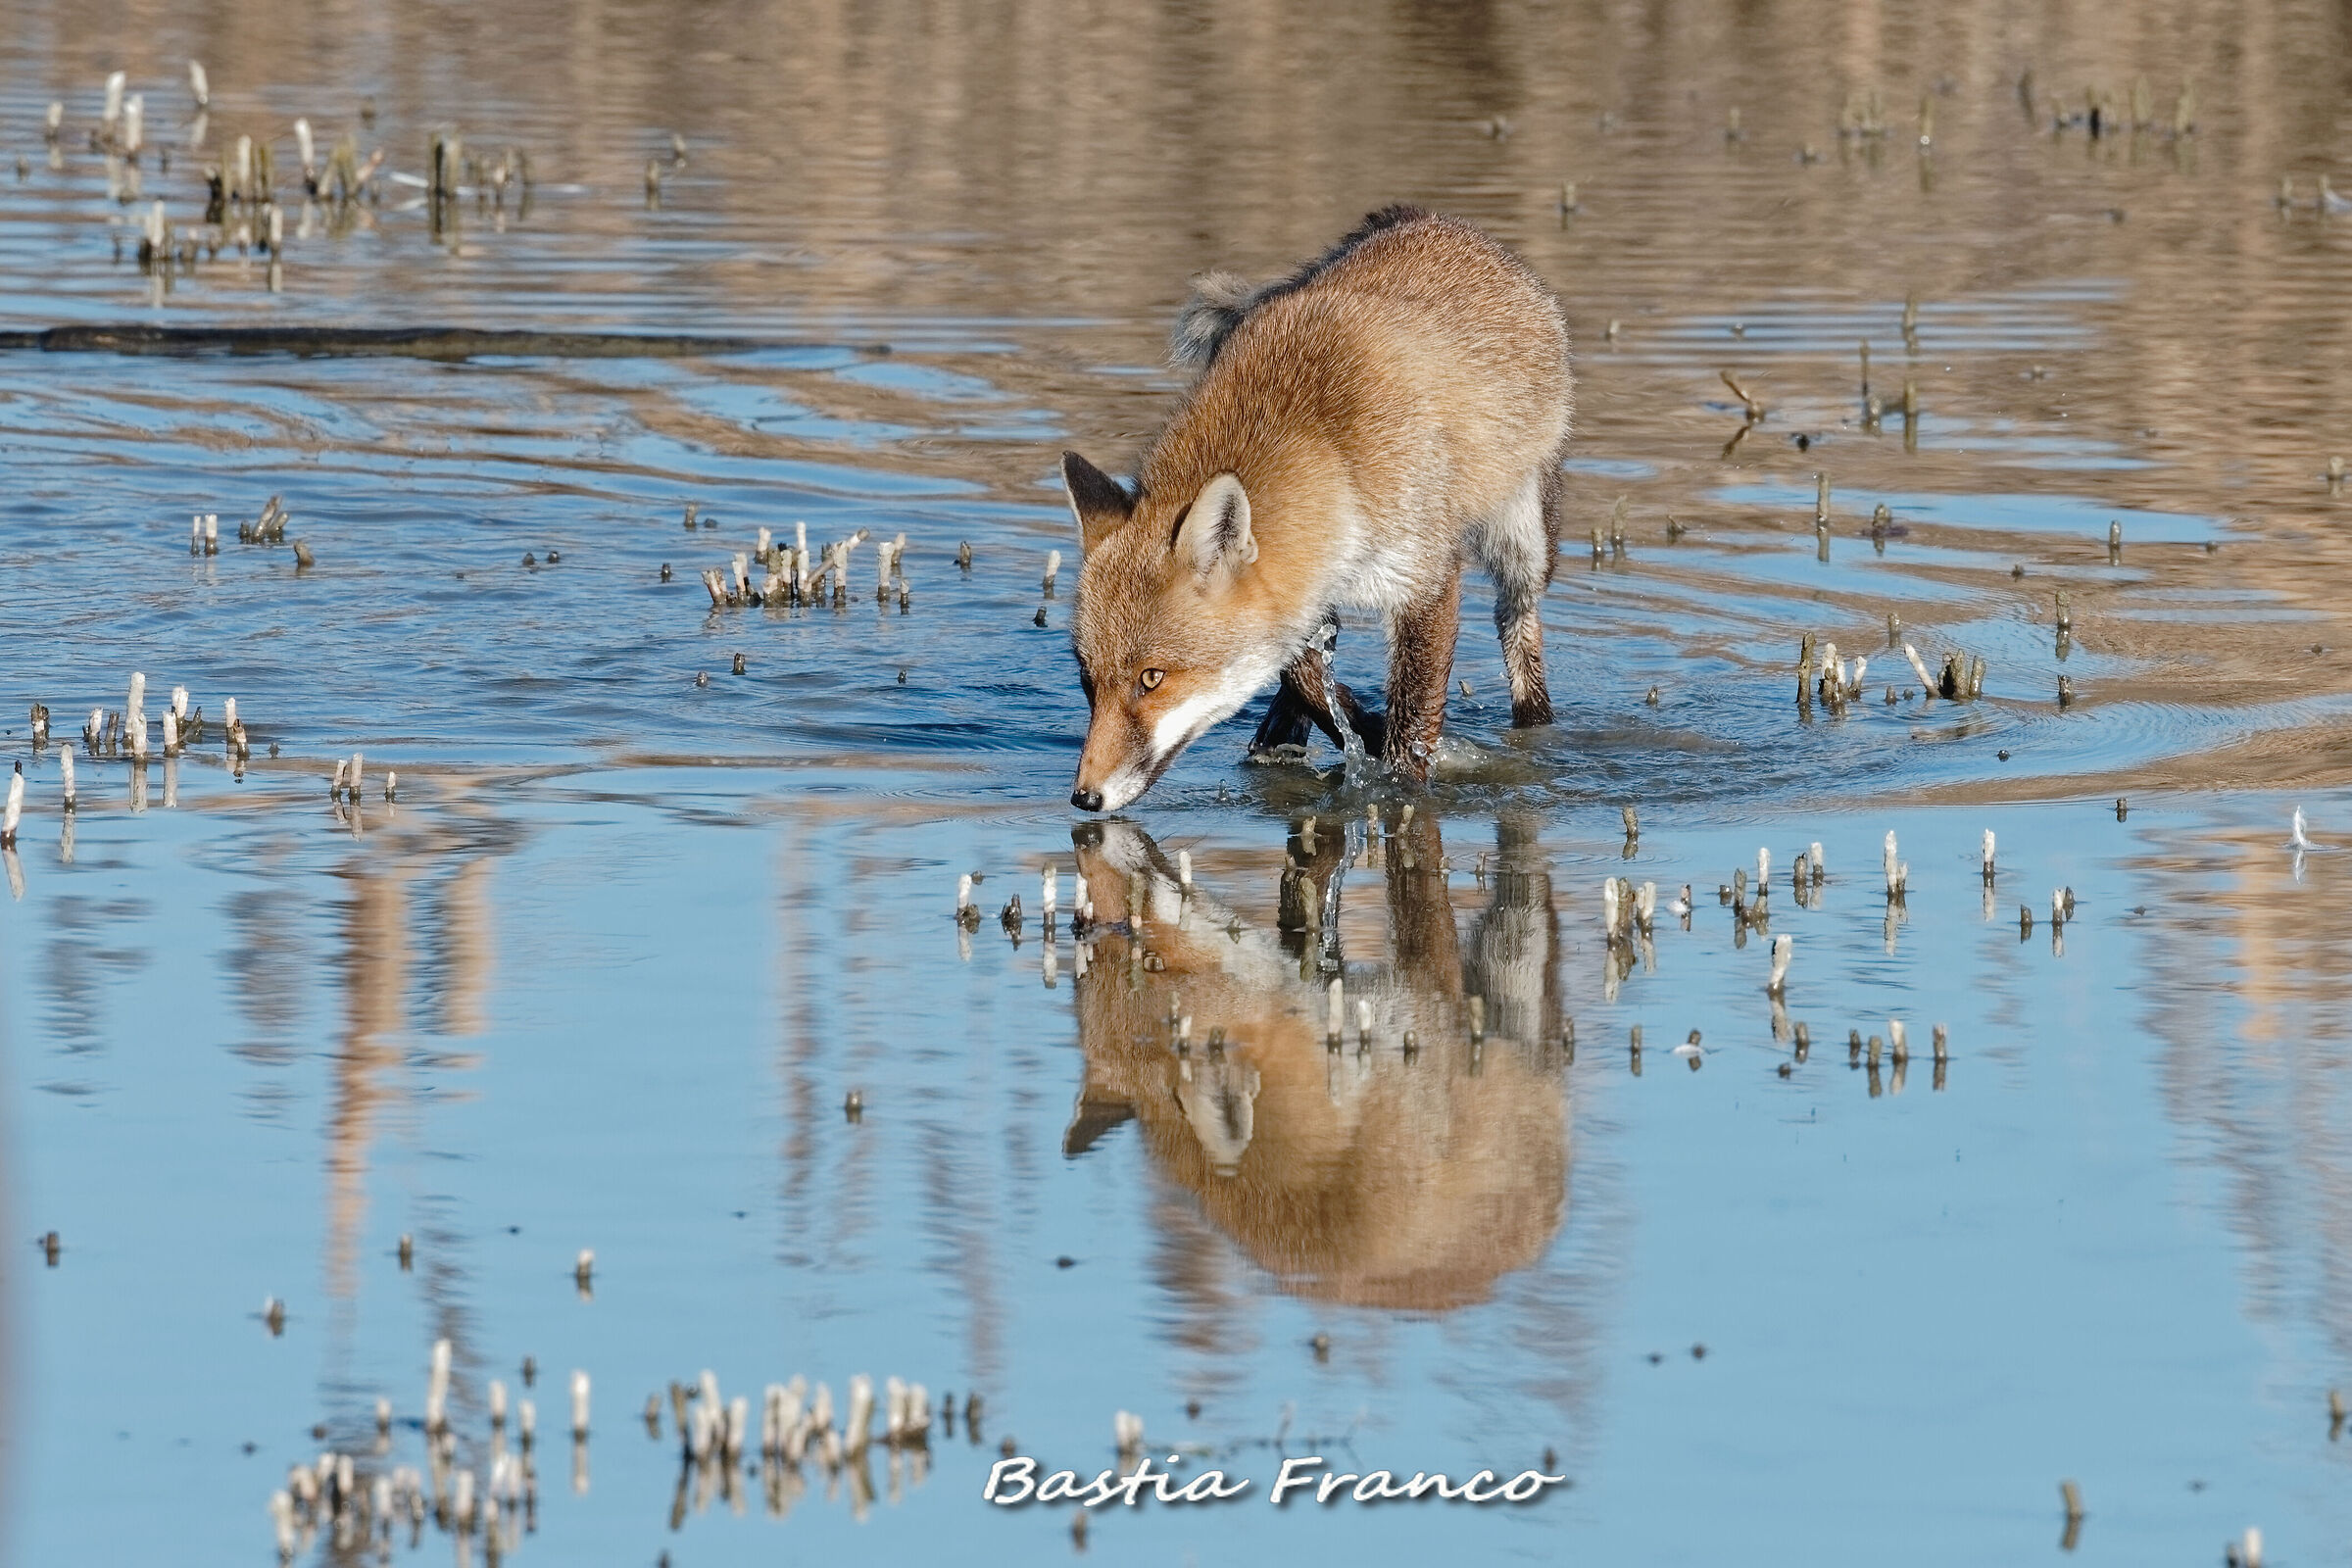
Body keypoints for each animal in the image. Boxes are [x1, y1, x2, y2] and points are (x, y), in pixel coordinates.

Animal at [1062, 204, 1573, 813]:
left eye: (1152, 678)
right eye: (1087, 680)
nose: (1085, 798)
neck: (1332, 454)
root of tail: (1425, 217)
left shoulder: (1425, 578)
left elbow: (1411, 717)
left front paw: (1401, 779)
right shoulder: (1305, 583)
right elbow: (1304, 678)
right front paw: (1358, 733)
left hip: (1521, 542)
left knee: (1517, 623)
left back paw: (1535, 722)